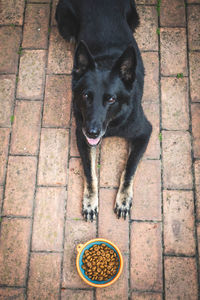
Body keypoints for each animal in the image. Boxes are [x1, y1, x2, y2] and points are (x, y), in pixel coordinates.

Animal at [55, 0, 151, 220]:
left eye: (111, 99)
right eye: (86, 96)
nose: (92, 132)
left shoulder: (144, 132)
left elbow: (130, 167)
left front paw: (123, 199)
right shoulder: (81, 137)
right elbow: (90, 172)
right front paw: (90, 202)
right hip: (64, 23)